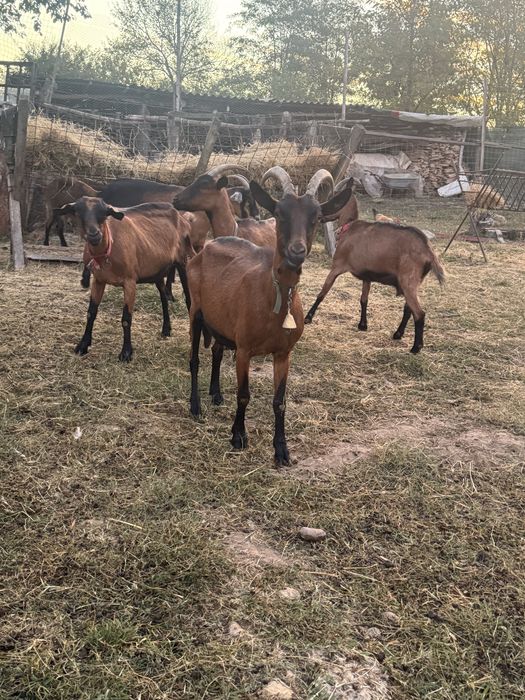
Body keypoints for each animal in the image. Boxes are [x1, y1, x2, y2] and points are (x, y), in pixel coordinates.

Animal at [55, 197, 193, 361]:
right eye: (78, 212)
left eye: (104, 213)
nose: (94, 235)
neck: (109, 247)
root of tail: (182, 218)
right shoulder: (98, 280)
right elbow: (91, 313)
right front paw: (82, 345)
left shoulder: (130, 281)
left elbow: (126, 318)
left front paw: (126, 353)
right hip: (157, 270)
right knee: (164, 298)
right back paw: (166, 329)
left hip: (183, 261)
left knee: (188, 300)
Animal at [186, 167, 353, 466]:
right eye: (280, 213)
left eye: (316, 217)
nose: (297, 251)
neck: (273, 300)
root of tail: (207, 246)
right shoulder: (243, 349)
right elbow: (243, 395)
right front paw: (238, 436)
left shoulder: (283, 353)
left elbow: (280, 401)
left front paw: (282, 449)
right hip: (196, 311)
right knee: (194, 359)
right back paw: (195, 406)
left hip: (221, 322)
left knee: (216, 350)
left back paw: (216, 394)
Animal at [305, 211, 445, 353]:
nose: (319, 216)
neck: (349, 229)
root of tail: (428, 251)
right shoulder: (367, 277)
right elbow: (363, 300)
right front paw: (362, 325)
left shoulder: (336, 267)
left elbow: (322, 293)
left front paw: (308, 318)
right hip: (414, 284)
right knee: (408, 309)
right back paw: (398, 334)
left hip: (408, 282)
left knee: (419, 313)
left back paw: (416, 347)